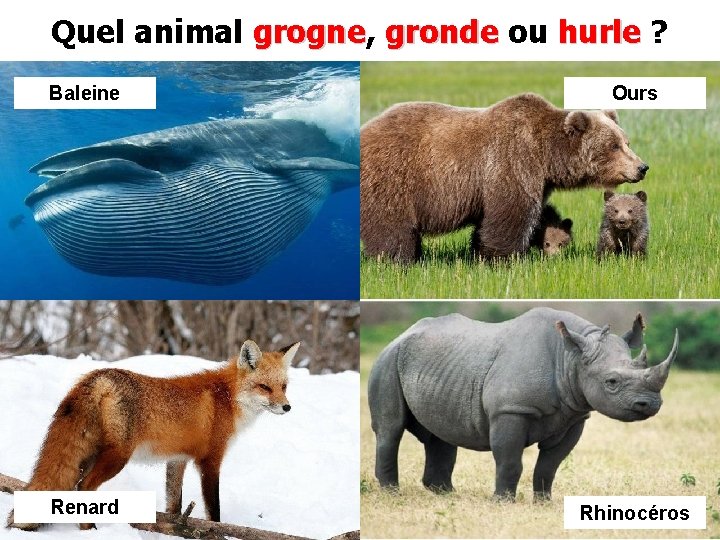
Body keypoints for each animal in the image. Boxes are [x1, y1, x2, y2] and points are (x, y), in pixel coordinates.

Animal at [7, 339, 299, 531]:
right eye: (264, 387)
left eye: (284, 387)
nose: (287, 407)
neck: (226, 398)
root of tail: (99, 376)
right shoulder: (210, 460)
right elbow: (214, 510)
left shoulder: (178, 459)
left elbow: (174, 506)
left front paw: (176, 530)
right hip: (116, 457)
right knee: (84, 487)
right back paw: (90, 531)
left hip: (89, 456)